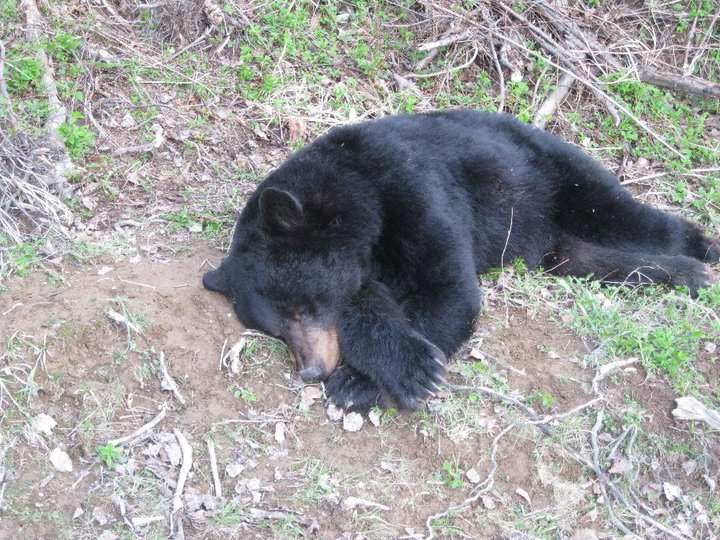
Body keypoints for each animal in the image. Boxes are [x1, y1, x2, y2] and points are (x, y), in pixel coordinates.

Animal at [204, 110, 720, 414]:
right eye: (275, 329)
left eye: (302, 309)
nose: (310, 370)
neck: (358, 190)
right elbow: (367, 301)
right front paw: (380, 368)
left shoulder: (415, 191)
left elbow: (445, 289)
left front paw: (376, 380)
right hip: (551, 239)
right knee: (579, 256)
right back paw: (683, 275)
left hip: (556, 176)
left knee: (629, 218)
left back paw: (702, 254)